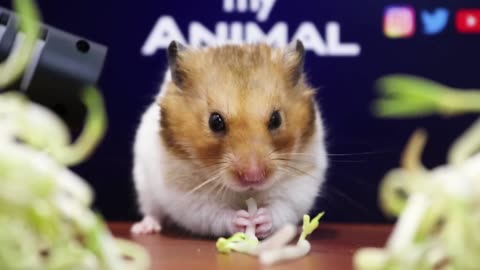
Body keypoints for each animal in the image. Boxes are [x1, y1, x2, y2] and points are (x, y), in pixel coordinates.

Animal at [129, 40, 328, 238]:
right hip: (144, 186)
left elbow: (281, 207)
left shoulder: (300, 182)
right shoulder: (186, 195)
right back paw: (144, 228)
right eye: (215, 122)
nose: (253, 177)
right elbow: (214, 213)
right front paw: (243, 220)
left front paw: (260, 219)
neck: (246, 193)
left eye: (276, 119)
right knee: (152, 211)